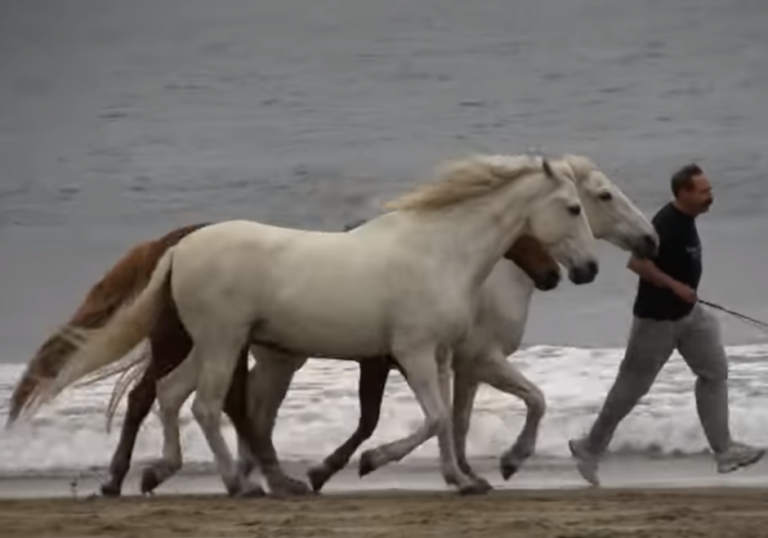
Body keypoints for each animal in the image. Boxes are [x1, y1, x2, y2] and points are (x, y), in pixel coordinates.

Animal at [28, 152, 600, 494]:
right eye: (574, 208)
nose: (585, 271)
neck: (439, 253)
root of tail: (181, 247)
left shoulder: (438, 356)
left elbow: (445, 422)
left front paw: (461, 479)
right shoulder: (411, 352)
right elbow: (435, 419)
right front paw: (371, 461)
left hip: (207, 345)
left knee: (169, 395)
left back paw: (160, 471)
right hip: (223, 342)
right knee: (206, 405)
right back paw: (240, 483)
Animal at [237, 153, 656, 492]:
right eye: (601, 197)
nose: (650, 239)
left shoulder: (456, 364)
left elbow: (457, 419)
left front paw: (467, 474)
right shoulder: (473, 359)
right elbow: (521, 402)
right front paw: (506, 462)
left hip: (281, 355)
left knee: (254, 404)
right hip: (282, 358)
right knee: (256, 406)